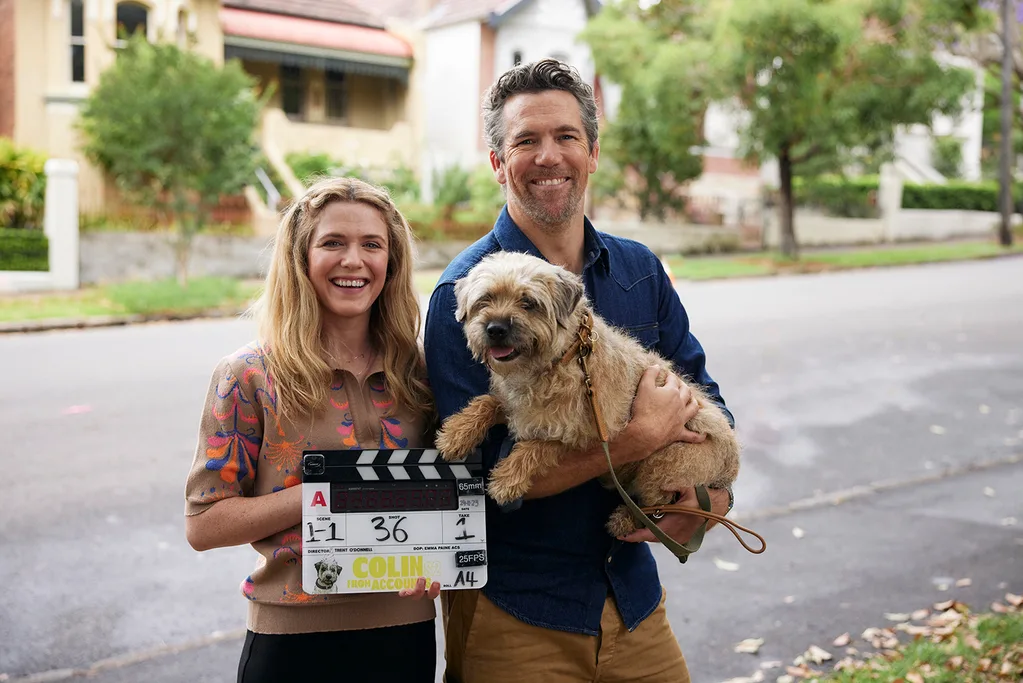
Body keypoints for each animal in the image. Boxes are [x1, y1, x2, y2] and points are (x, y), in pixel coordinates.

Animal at [435, 250, 740, 539]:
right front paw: (456, 434)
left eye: (528, 303)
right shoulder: (516, 406)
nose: (495, 329)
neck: (562, 358)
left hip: (664, 462)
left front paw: (507, 479)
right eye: (485, 299)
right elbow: (487, 402)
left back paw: (627, 519)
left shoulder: (584, 434)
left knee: (657, 504)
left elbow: (539, 445)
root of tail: (732, 465)